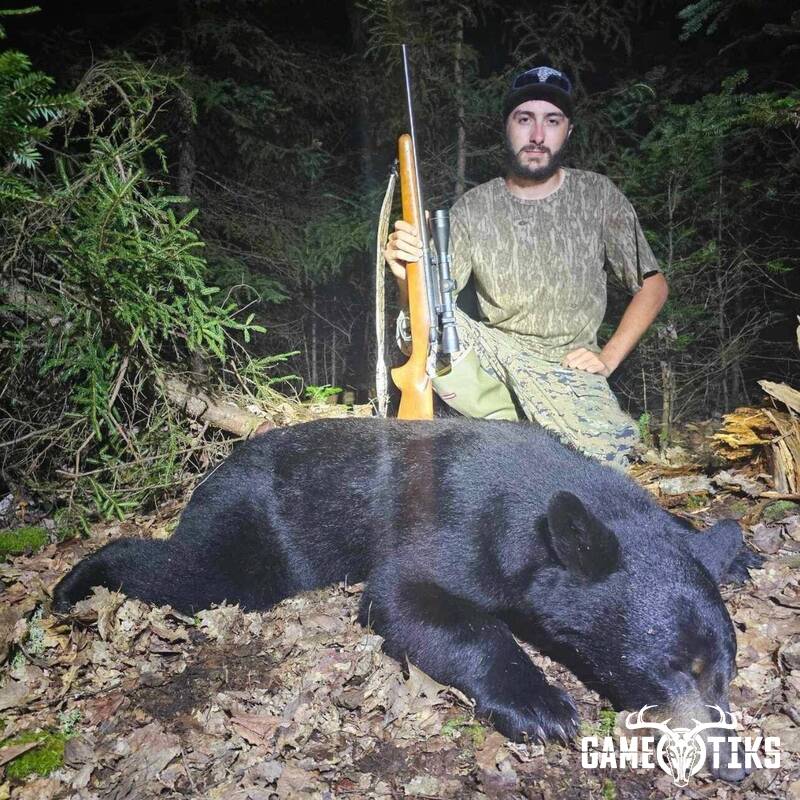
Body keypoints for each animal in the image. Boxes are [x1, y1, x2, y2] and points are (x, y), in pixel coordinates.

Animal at [53, 418, 758, 781]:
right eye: (678, 668)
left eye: (726, 674)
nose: (734, 764)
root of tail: (216, 465)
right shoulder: (466, 527)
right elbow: (405, 596)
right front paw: (543, 708)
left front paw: (736, 549)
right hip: (258, 535)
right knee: (188, 574)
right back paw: (70, 583)